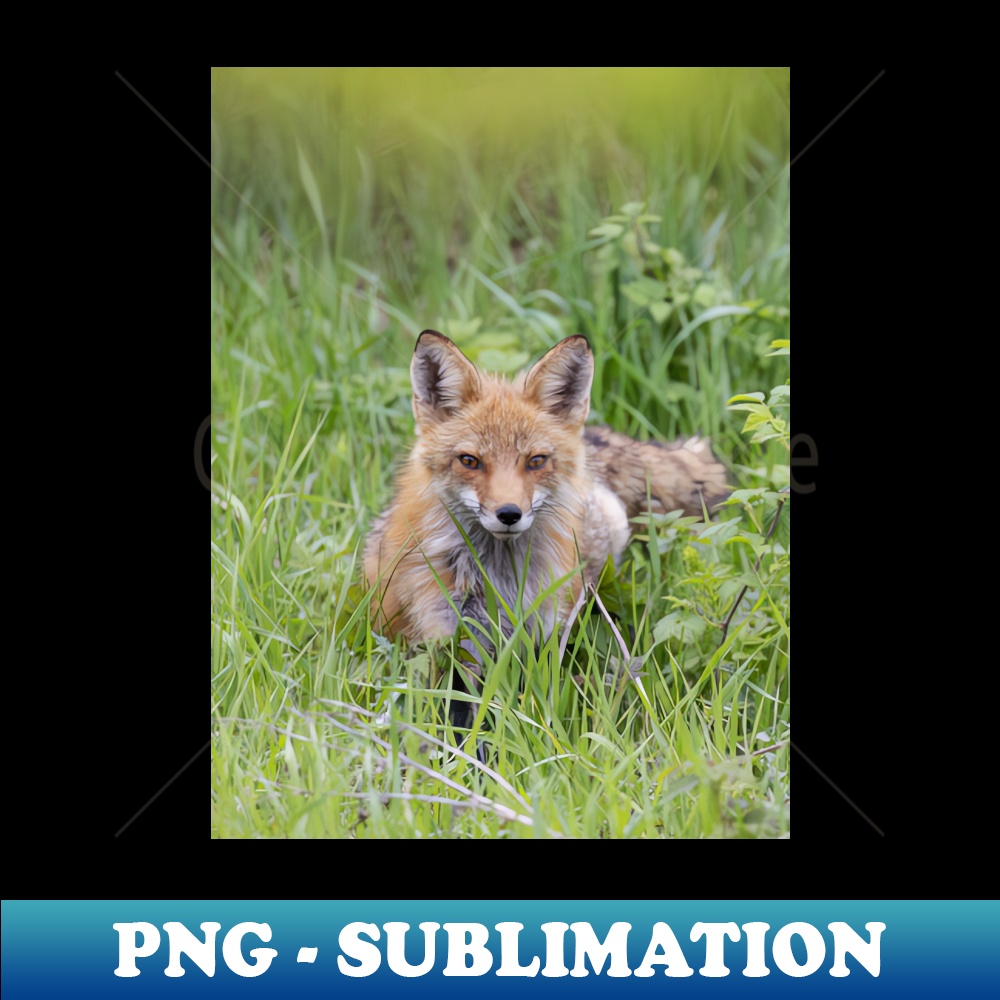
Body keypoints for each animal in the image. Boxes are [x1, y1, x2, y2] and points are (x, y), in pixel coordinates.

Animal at [364, 330, 729, 666]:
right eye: (469, 461)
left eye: (536, 461)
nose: (509, 513)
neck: (500, 582)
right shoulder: (444, 637)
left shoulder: (544, 633)